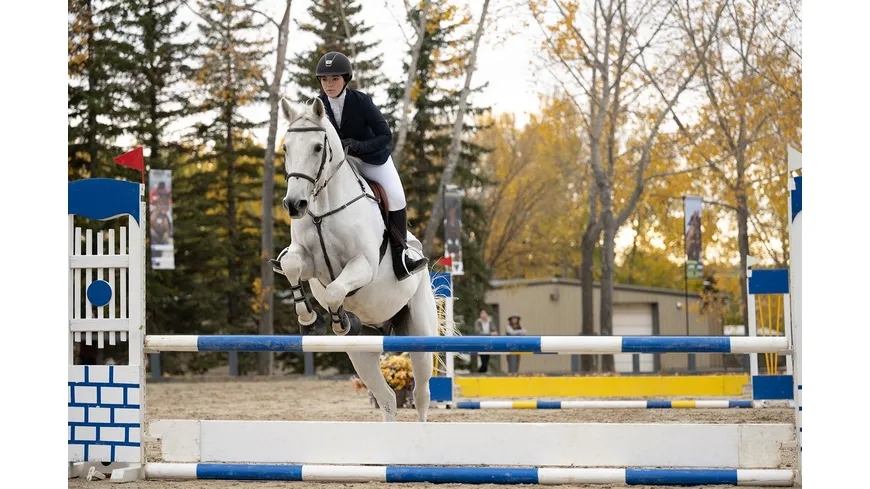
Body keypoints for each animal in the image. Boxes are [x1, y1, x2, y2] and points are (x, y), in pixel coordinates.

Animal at [271, 97, 443, 422]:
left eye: (317, 147)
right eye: (286, 147)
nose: (295, 205)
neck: (323, 208)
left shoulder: (363, 266)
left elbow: (337, 289)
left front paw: (339, 321)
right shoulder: (308, 263)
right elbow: (292, 267)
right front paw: (310, 319)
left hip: (420, 333)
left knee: (421, 394)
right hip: (363, 350)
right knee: (387, 397)